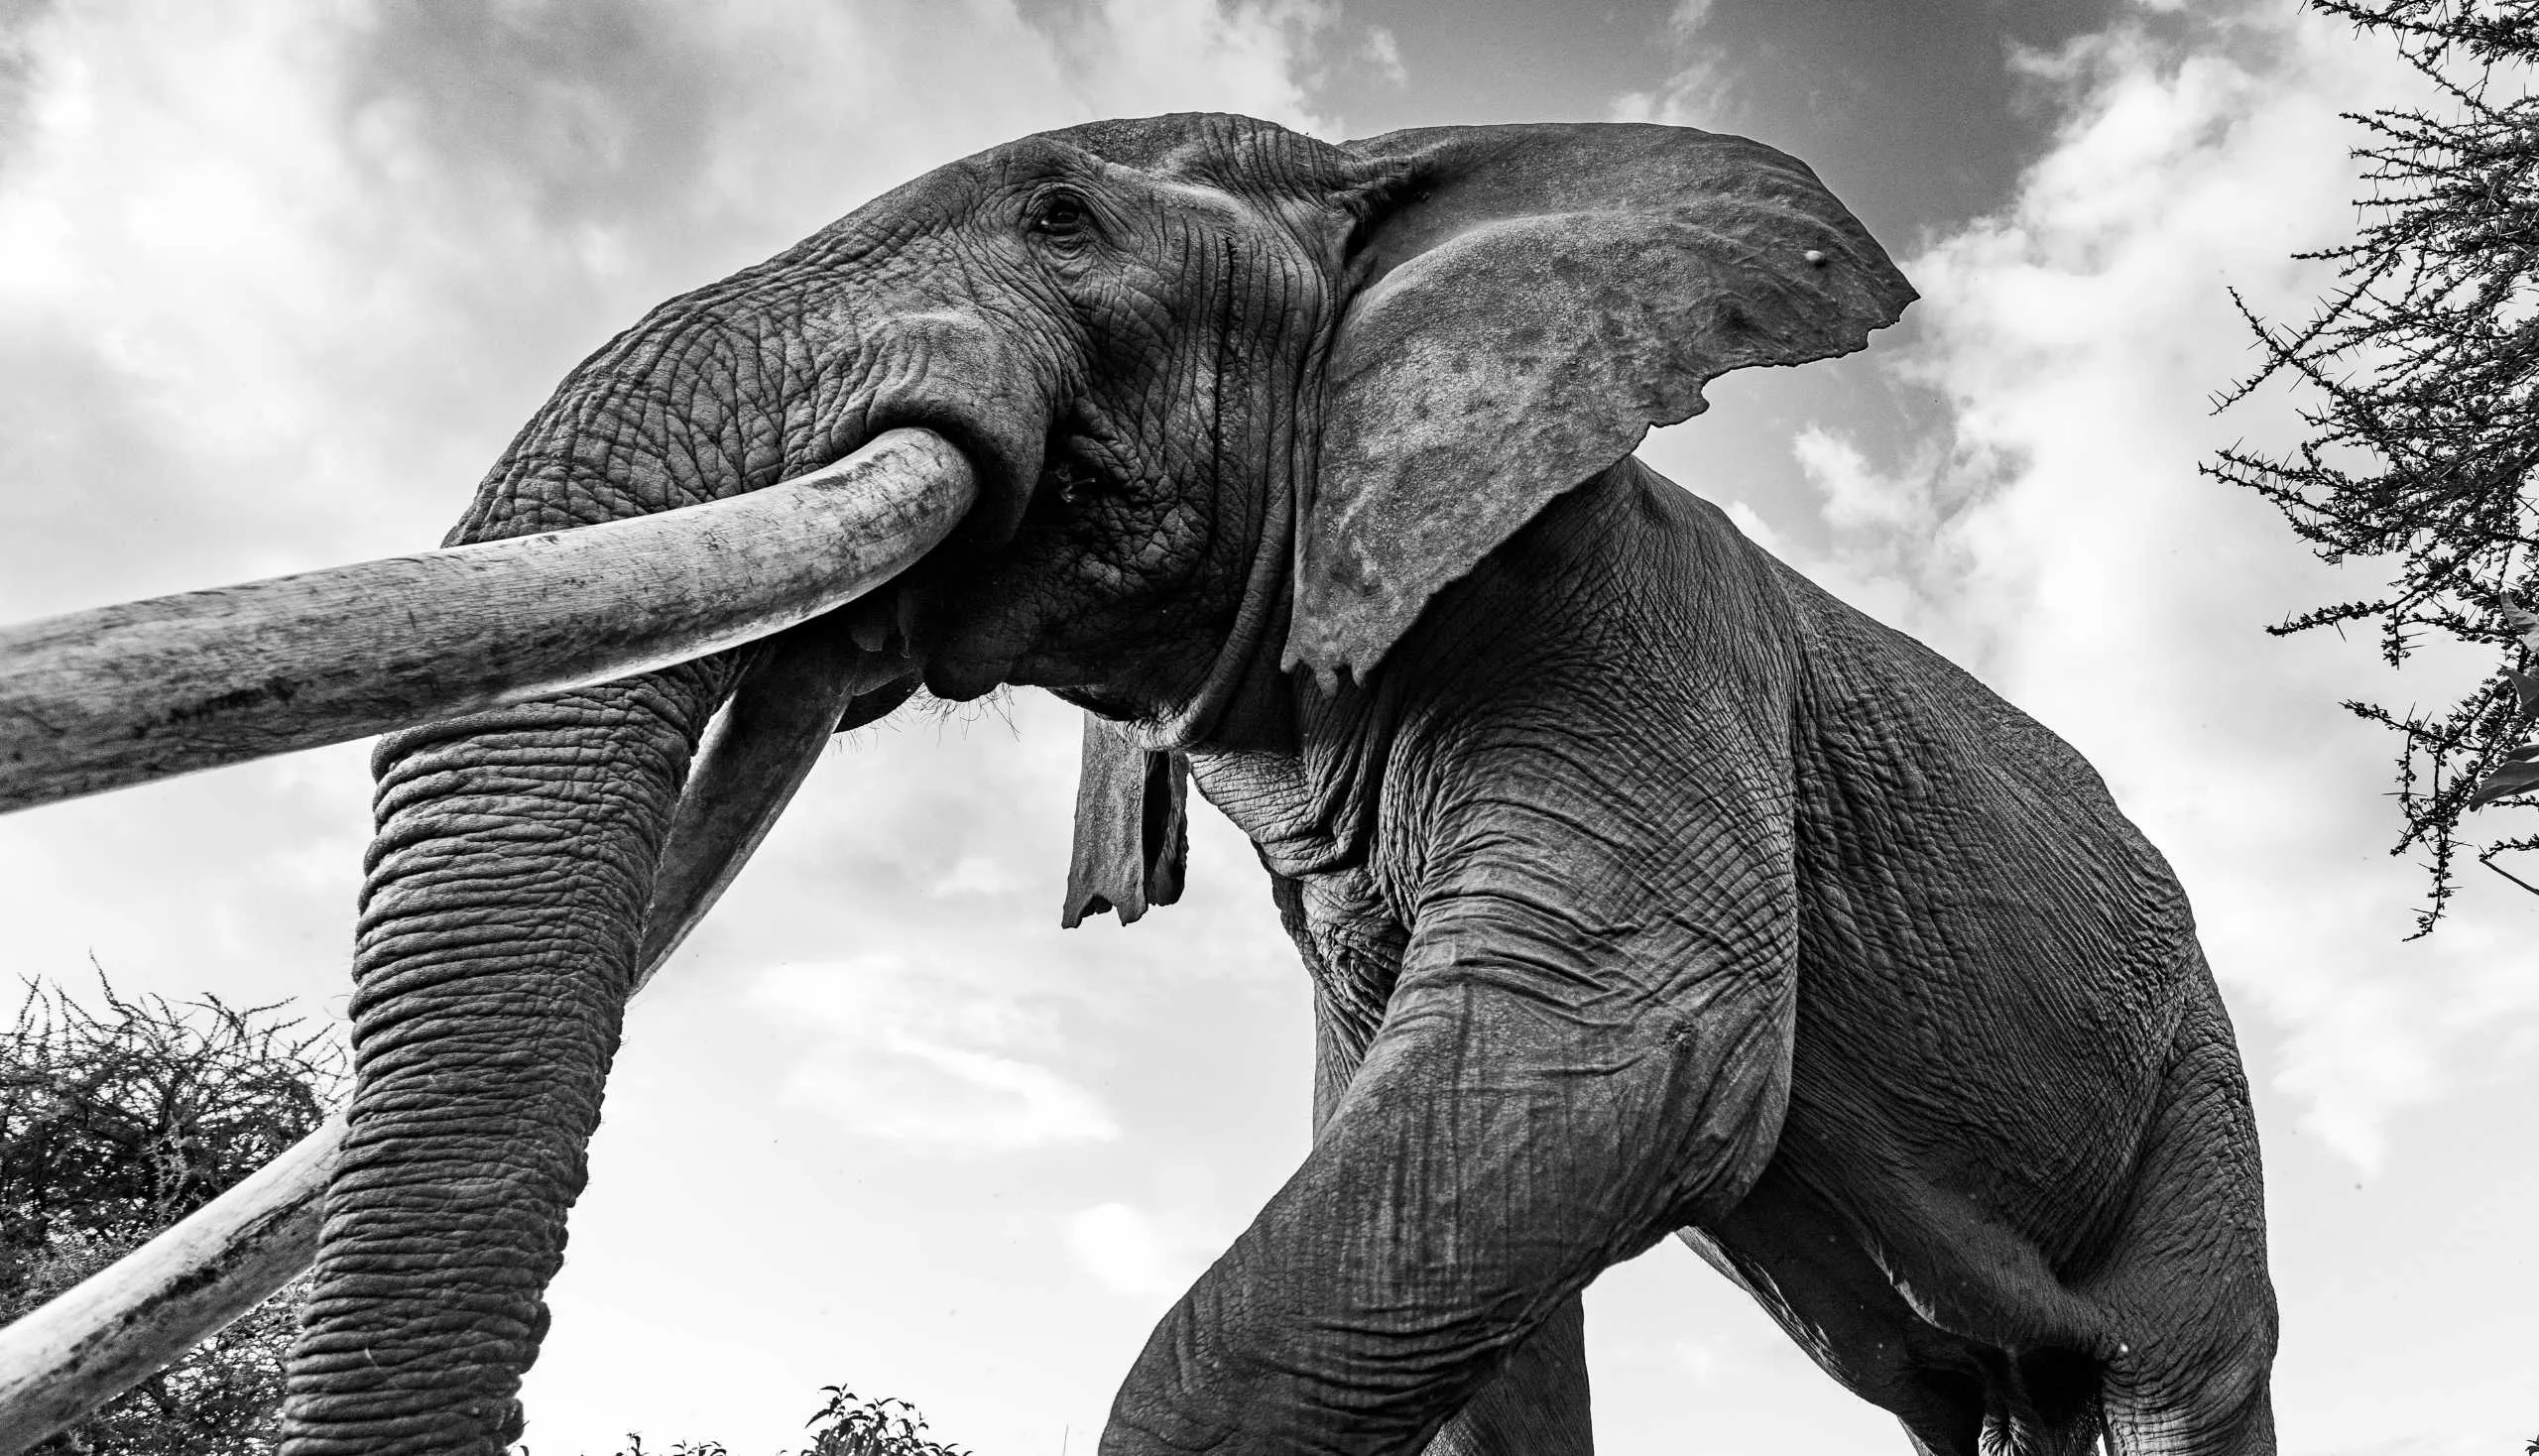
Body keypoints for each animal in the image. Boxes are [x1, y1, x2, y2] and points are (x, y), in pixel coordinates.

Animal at [269, 112, 2278, 1455]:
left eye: (1064, 219)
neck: (1398, 185)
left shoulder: (1627, 624)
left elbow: (1611, 1059)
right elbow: (1462, 1201)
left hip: (2198, 1068)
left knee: (2181, 1371)